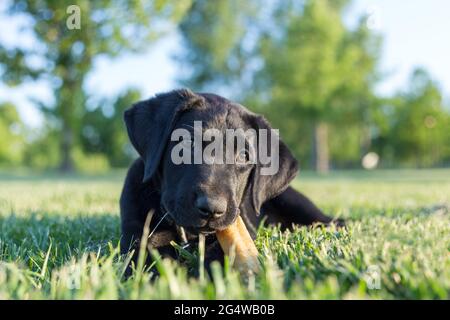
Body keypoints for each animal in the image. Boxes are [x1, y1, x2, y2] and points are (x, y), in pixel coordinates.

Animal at [119, 88, 342, 272]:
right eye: (187, 143)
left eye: (244, 156)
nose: (212, 208)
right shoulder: (135, 233)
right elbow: (147, 257)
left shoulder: (244, 230)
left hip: (295, 202)